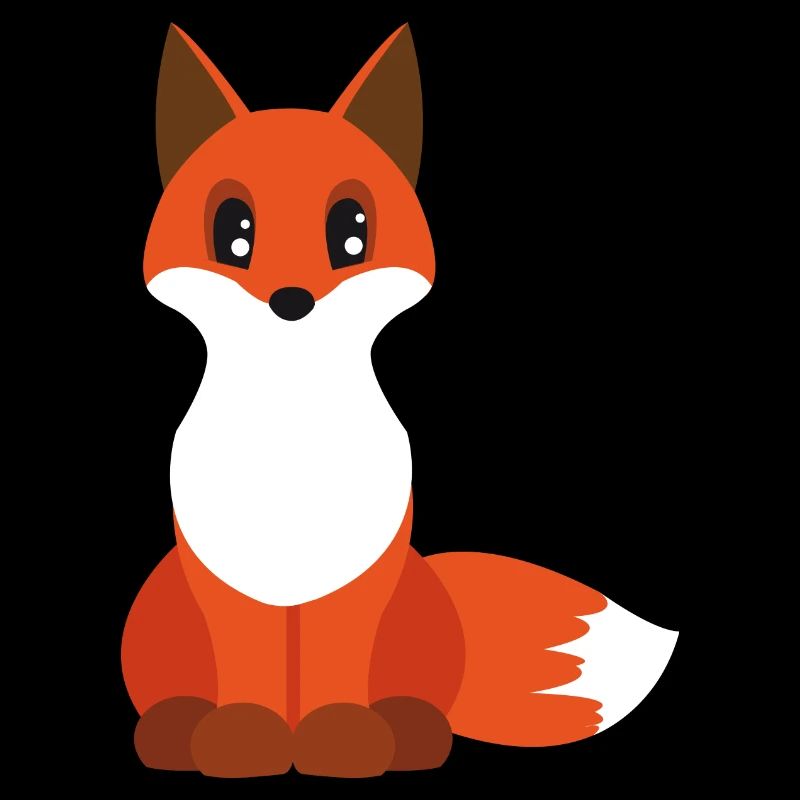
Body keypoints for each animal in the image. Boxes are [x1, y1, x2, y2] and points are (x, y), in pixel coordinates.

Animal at [122, 23, 679, 778]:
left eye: (351, 231)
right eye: (234, 232)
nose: (291, 302)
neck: (290, 429)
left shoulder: (359, 586)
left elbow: (339, 669)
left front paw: (340, 735)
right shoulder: (223, 585)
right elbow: (245, 671)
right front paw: (243, 734)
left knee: (419, 701)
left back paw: (408, 730)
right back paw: (176, 729)